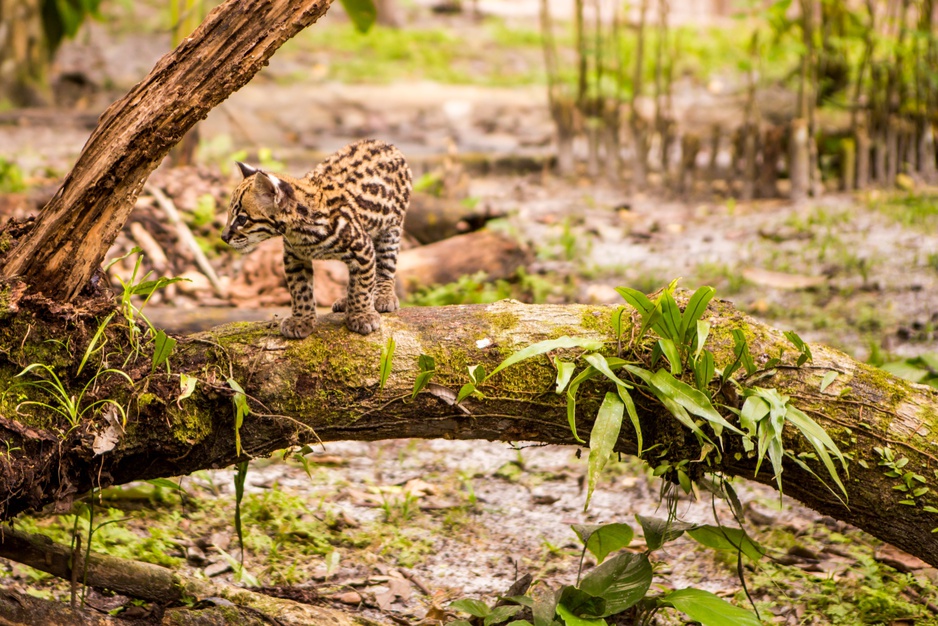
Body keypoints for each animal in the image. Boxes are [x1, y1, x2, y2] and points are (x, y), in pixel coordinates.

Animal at [221, 139, 412, 336]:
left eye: (241, 219)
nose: (223, 237)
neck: (300, 231)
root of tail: (384, 143)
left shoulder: (362, 248)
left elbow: (362, 285)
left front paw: (361, 315)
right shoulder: (294, 258)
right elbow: (300, 289)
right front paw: (301, 320)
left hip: (391, 230)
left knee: (385, 265)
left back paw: (383, 296)